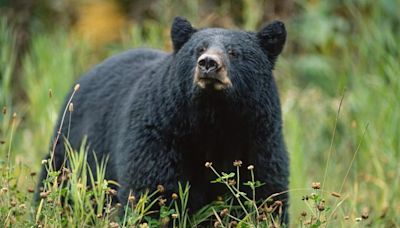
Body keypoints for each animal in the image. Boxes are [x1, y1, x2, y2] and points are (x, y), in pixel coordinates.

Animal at [36, 16, 290, 224]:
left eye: (234, 52)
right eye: (198, 49)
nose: (208, 63)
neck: (212, 120)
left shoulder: (258, 138)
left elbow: (262, 193)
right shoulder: (161, 134)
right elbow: (154, 195)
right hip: (73, 148)